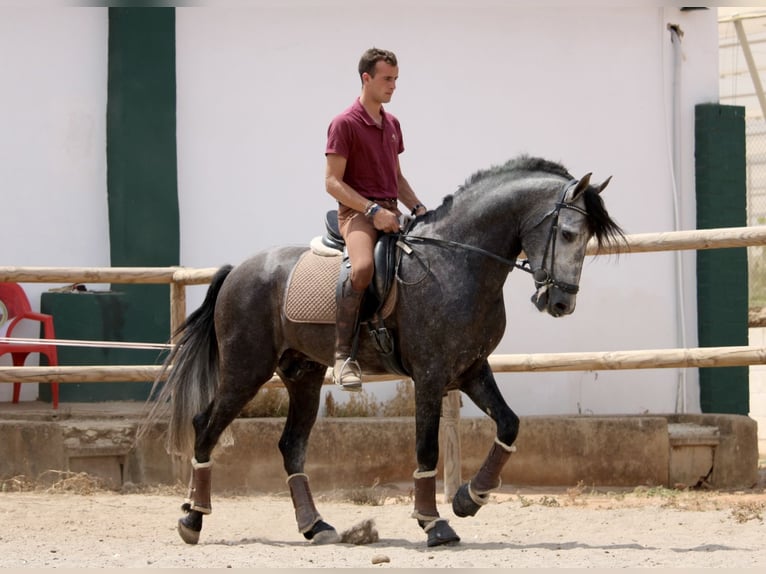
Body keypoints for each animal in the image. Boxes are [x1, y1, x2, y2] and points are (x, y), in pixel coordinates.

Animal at [142, 156, 624, 548]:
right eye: (567, 233)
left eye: (586, 240)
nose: (560, 304)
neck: (459, 262)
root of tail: (237, 270)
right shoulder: (431, 376)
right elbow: (427, 450)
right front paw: (434, 523)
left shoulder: (470, 369)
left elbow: (509, 423)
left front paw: (469, 498)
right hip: (247, 370)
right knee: (206, 427)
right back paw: (192, 519)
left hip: (302, 374)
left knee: (291, 445)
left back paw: (315, 526)